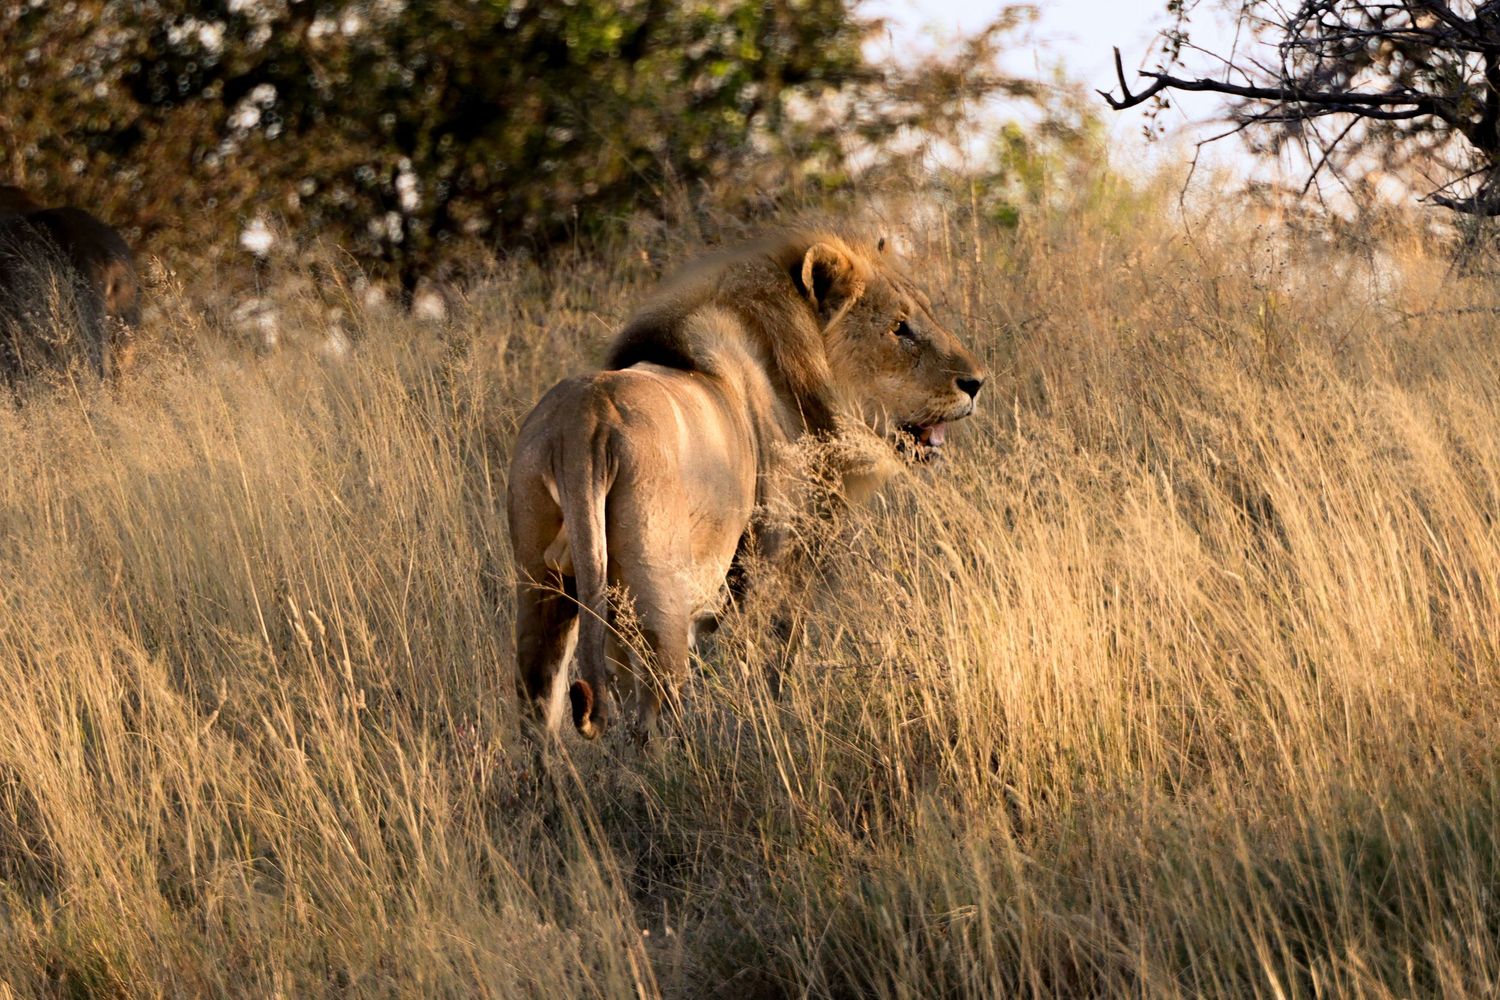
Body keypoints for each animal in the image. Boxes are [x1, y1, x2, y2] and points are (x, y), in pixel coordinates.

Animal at [507, 232, 986, 741]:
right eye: (900, 328)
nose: (976, 382)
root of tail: (586, 422)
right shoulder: (775, 564)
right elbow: (773, 659)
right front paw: (773, 723)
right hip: (660, 597)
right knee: (654, 716)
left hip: (540, 590)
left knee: (539, 706)